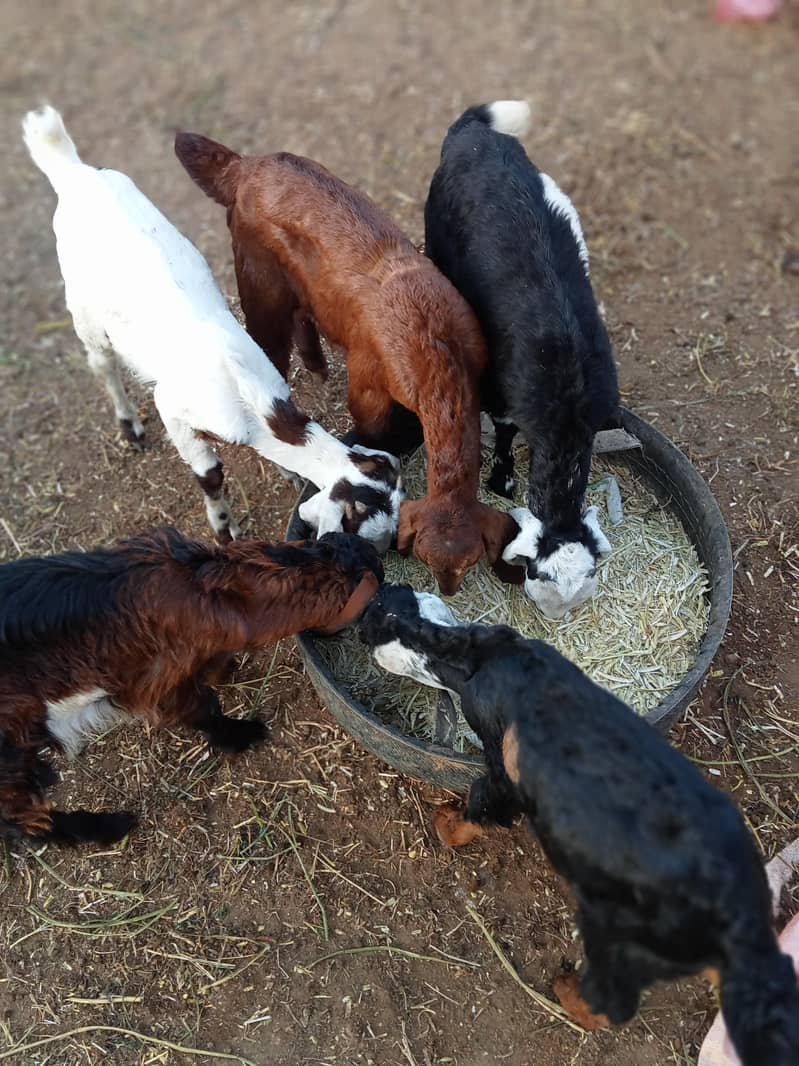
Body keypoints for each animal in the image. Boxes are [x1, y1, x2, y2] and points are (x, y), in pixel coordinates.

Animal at [0, 528, 382, 844]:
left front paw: (225, 671)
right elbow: (205, 708)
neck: (214, 592)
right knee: (23, 818)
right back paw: (108, 827)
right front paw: (241, 735)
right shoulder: (161, 681)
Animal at [22, 106, 402, 552]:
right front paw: (224, 530)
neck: (248, 397)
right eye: (369, 533)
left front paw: (289, 476)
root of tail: (71, 171)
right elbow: (210, 474)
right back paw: (130, 427)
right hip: (84, 310)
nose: (393, 549)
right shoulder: (174, 409)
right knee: (102, 364)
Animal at [173, 129, 518, 595]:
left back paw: (318, 364)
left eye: (470, 562)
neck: (436, 347)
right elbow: (371, 432)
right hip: (257, 281)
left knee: (305, 313)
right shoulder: (368, 384)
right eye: (427, 561)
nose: (447, 590)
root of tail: (243, 166)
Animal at [359, 584, 799, 1066]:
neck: (481, 657)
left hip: (618, 940)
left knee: (611, 1004)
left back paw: (566, 990)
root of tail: (737, 919)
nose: (363, 616)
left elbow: (480, 803)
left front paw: (447, 827)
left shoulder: (501, 770)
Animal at [424, 101, 620, 617]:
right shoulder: (499, 391)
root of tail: (473, 132)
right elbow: (505, 432)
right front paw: (502, 480)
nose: (552, 621)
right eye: (534, 573)